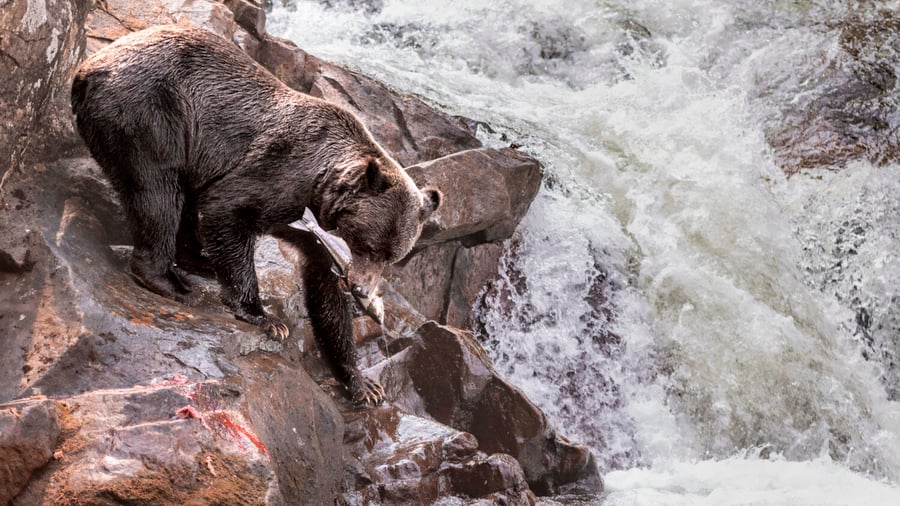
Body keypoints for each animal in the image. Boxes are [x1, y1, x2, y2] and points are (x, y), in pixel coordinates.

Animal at [70, 24, 441, 405]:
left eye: (391, 257)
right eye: (368, 245)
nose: (362, 288)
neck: (319, 192)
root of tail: (86, 67)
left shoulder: (312, 231)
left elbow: (325, 293)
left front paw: (363, 384)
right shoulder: (279, 172)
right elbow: (227, 208)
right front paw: (265, 317)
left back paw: (199, 261)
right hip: (149, 115)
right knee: (157, 191)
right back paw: (170, 281)